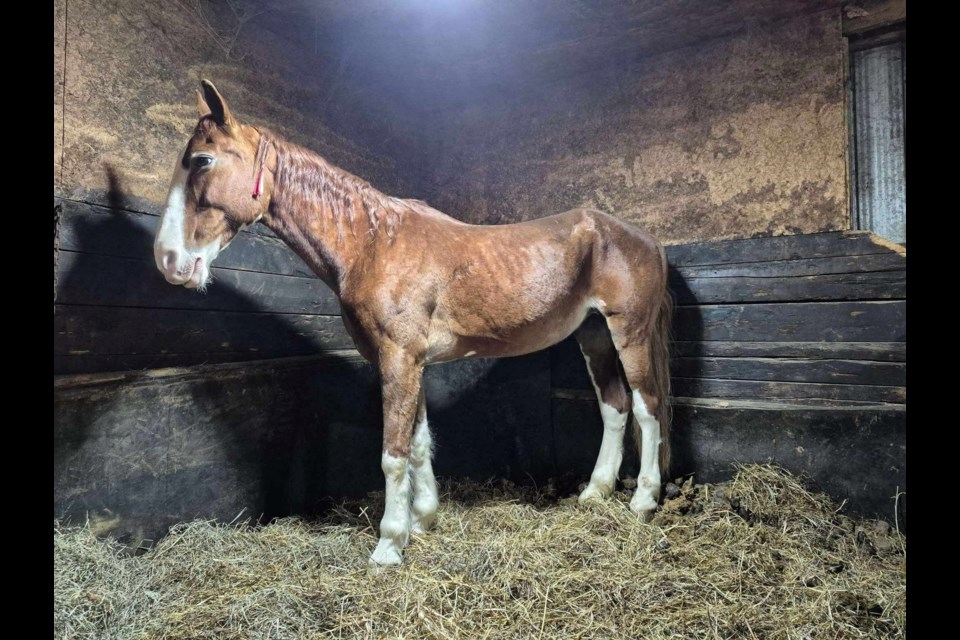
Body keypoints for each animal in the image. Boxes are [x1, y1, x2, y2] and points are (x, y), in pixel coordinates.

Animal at [154, 80, 672, 564]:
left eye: (201, 160)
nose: (168, 260)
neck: (372, 244)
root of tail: (644, 238)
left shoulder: (398, 358)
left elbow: (394, 453)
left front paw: (388, 546)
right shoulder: (412, 361)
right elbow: (420, 443)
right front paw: (422, 521)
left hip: (628, 333)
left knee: (646, 406)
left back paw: (643, 501)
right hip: (594, 335)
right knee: (614, 407)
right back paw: (595, 492)